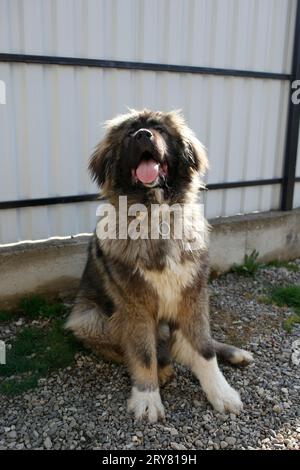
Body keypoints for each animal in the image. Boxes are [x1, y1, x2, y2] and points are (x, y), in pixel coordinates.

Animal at [66, 109, 253, 422]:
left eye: (159, 129)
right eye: (130, 132)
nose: (143, 135)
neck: (156, 214)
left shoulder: (194, 294)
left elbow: (204, 348)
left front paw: (221, 393)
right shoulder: (135, 304)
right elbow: (143, 354)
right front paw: (147, 399)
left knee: (184, 345)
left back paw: (233, 354)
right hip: (88, 319)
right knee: (146, 350)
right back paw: (162, 371)